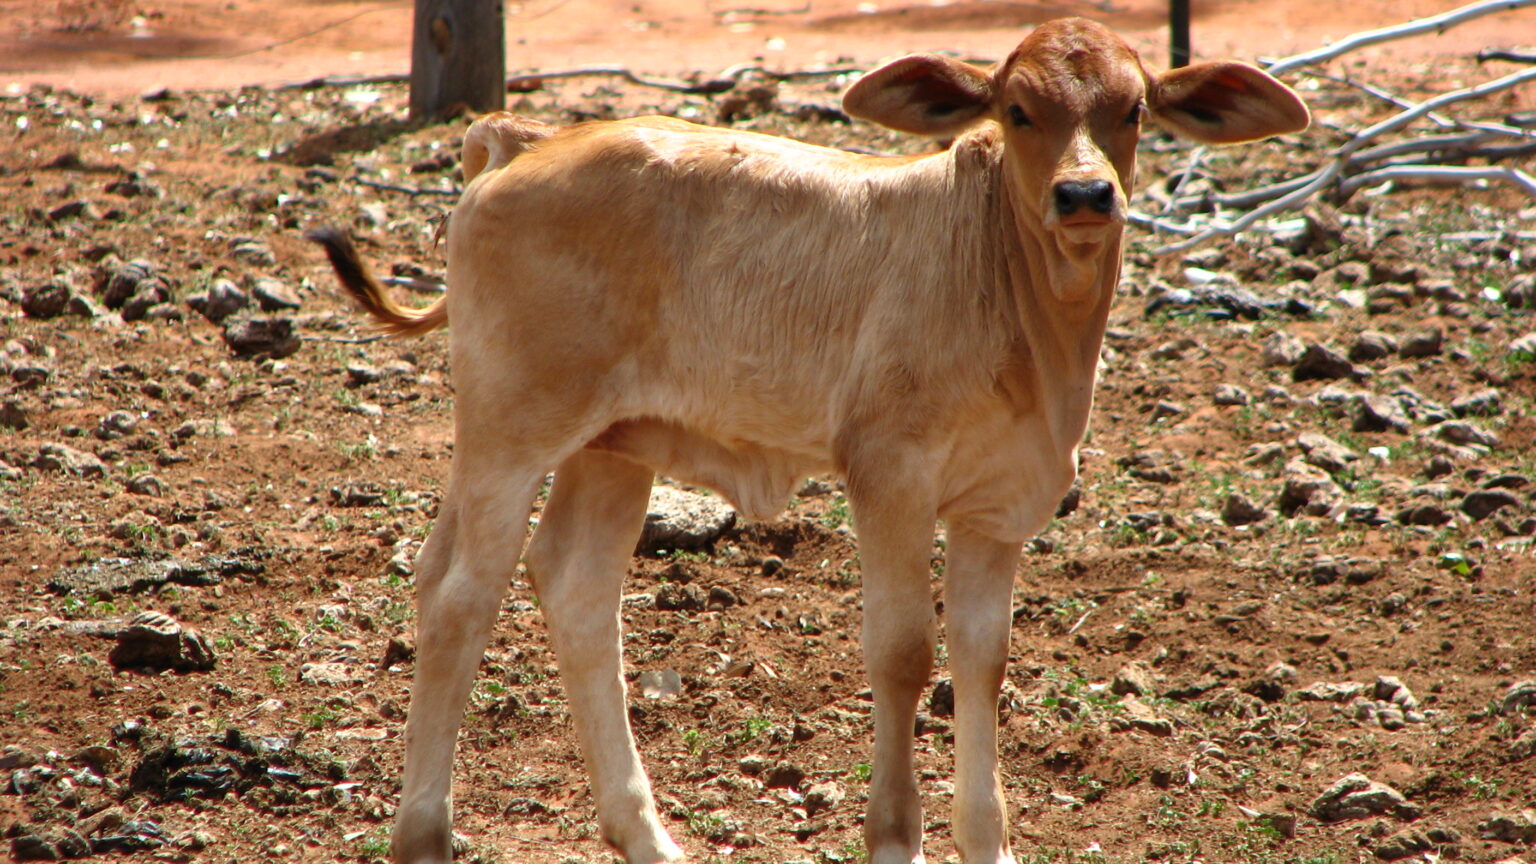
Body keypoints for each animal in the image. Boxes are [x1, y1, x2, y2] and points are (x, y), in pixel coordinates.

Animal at [308, 16, 1307, 864]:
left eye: (1133, 111)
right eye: (1019, 110)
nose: (1086, 192)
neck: (1021, 307)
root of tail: (521, 142)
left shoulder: (999, 504)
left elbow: (982, 660)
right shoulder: (889, 472)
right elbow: (904, 653)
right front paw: (894, 835)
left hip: (611, 444)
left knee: (571, 586)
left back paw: (647, 835)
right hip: (512, 428)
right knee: (460, 599)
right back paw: (425, 837)